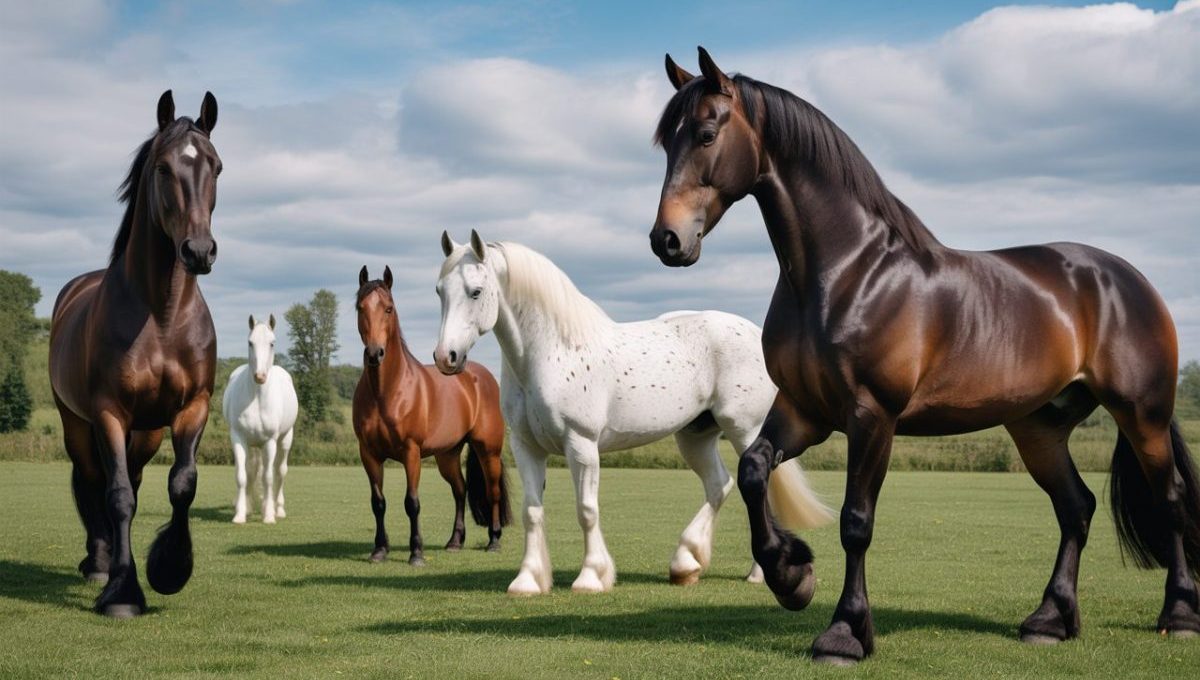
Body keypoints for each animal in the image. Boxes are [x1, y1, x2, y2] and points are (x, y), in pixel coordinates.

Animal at [49, 90, 221, 618]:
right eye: (163, 167)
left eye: (216, 166)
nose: (198, 251)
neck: (161, 317)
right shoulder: (108, 412)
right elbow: (119, 496)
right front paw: (123, 593)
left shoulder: (192, 408)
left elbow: (182, 483)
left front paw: (169, 569)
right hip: (77, 423)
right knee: (94, 481)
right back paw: (100, 562)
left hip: (145, 433)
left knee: (137, 476)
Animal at [222, 314, 298, 524]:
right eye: (250, 342)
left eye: (272, 343)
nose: (260, 376)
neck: (256, 398)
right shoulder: (239, 439)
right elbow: (242, 476)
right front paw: (240, 514)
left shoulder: (270, 441)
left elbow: (268, 478)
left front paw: (269, 515)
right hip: (253, 445)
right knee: (251, 471)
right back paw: (250, 507)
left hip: (284, 440)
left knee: (280, 471)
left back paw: (278, 509)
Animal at [353, 265, 510, 566]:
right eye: (360, 307)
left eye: (389, 308)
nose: (375, 353)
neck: (387, 391)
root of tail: (484, 377)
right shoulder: (369, 454)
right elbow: (378, 503)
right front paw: (379, 550)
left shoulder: (411, 453)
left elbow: (411, 503)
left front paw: (416, 553)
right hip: (447, 455)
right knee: (460, 490)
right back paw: (455, 541)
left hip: (488, 450)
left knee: (492, 490)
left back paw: (495, 540)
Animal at [434, 231, 832, 595]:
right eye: (440, 291)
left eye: (475, 291)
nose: (445, 357)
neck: (551, 352)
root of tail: (754, 334)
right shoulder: (526, 446)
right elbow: (532, 511)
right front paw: (529, 580)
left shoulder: (581, 444)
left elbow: (587, 509)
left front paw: (592, 577)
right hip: (696, 436)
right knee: (719, 485)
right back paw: (686, 563)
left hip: (744, 430)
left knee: (758, 487)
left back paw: (759, 573)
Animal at [648, 47, 1200, 663]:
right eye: (666, 143)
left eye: (706, 133)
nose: (667, 240)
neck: (847, 273)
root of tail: (1128, 279)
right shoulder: (804, 411)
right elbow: (752, 471)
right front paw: (792, 576)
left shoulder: (872, 417)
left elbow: (856, 522)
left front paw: (845, 632)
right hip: (1039, 427)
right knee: (1076, 508)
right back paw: (1050, 620)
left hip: (1141, 415)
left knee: (1171, 499)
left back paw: (1178, 615)